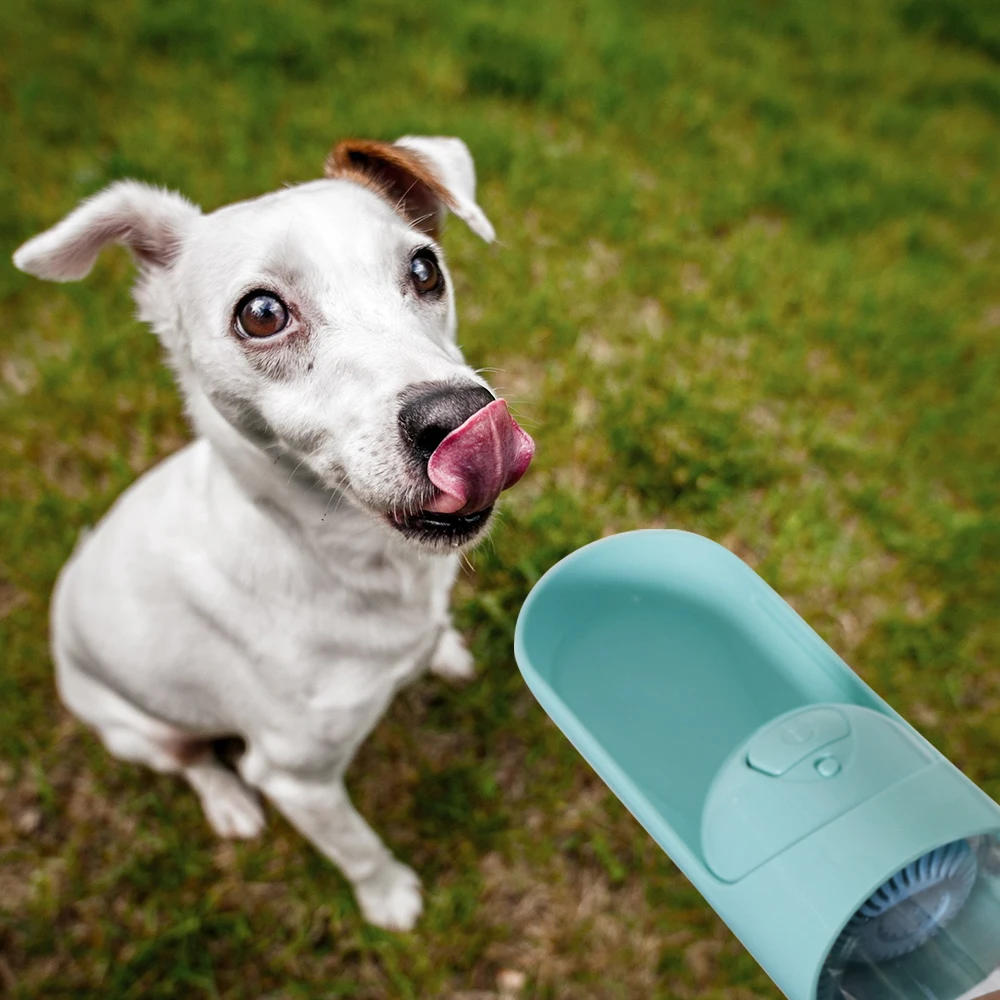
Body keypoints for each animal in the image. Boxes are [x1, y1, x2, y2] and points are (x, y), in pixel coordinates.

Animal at [11, 135, 536, 928]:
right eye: (260, 314)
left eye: (425, 269)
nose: (460, 417)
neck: (347, 560)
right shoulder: (298, 779)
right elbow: (355, 844)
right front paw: (389, 899)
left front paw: (441, 650)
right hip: (140, 730)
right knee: (196, 761)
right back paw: (229, 804)